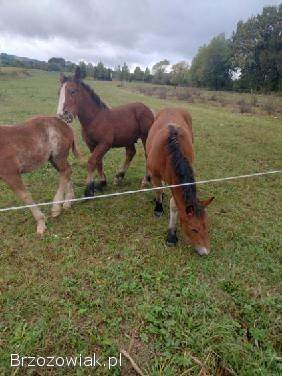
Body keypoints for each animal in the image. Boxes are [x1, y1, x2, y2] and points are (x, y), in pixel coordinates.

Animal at [56, 67, 154, 197]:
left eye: (73, 91)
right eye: (59, 93)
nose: (62, 115)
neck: (95, 118)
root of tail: (147, 108)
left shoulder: (104, 144)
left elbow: (92, 161)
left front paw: (89, 189)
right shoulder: (92, 145)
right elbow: (98, 162)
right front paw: (102, 182)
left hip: (145, 136)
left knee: (147, 154)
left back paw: (145, 180)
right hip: (128, 138)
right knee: (130, 152)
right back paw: (119, 177)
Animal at [147, 108, 215, 256]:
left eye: (207, 226)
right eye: (194, 229)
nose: (206, 251)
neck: (169, 151)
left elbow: (174, 204)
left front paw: (172, 234)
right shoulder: (155, 174)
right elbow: (158, 190)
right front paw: (159, 208)